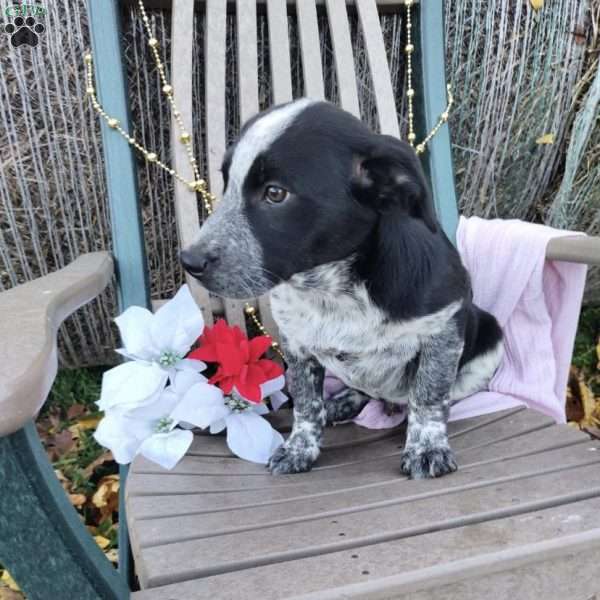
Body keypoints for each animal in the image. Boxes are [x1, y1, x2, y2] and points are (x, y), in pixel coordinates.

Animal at [182, 101, 502, 480]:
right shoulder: (296, 343)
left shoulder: (444, 329)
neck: (334, 289)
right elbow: (305, 403)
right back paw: (339, 405)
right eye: (227, 181)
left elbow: (428, 395)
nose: (189, 261)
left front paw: (426, 448)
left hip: (490, 341)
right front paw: (300, 448)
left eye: (275, 193)